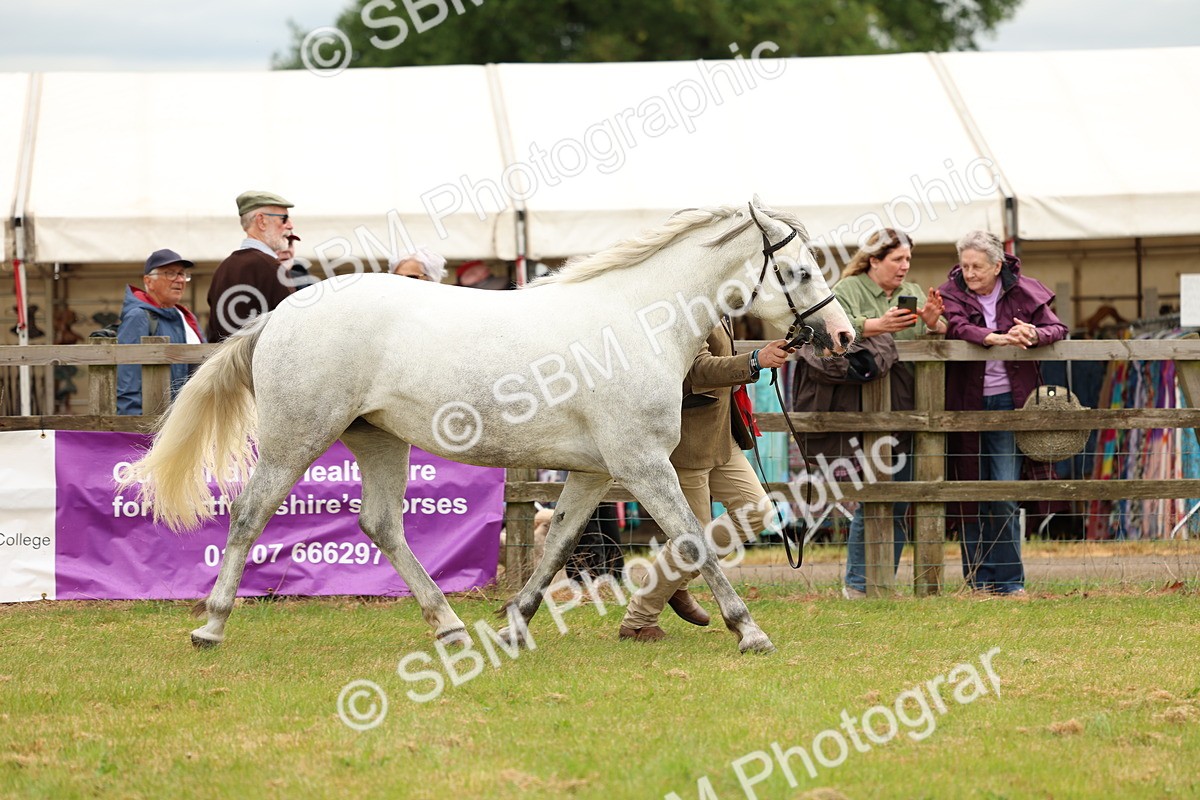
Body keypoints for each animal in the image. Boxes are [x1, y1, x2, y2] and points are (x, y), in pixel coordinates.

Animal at [125, 197, 854, 654]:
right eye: (798, 270)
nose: (843, 335)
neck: (634, 322)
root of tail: (279, 315)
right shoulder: (643, 467)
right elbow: (695, 544)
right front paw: (749, 632)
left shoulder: (595, 474)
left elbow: (556, 547)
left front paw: (512, 628)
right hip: (295, 439)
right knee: (250, 514)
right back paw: (211, 627)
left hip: (379, 438)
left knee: (381, 525)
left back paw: (448, 627)